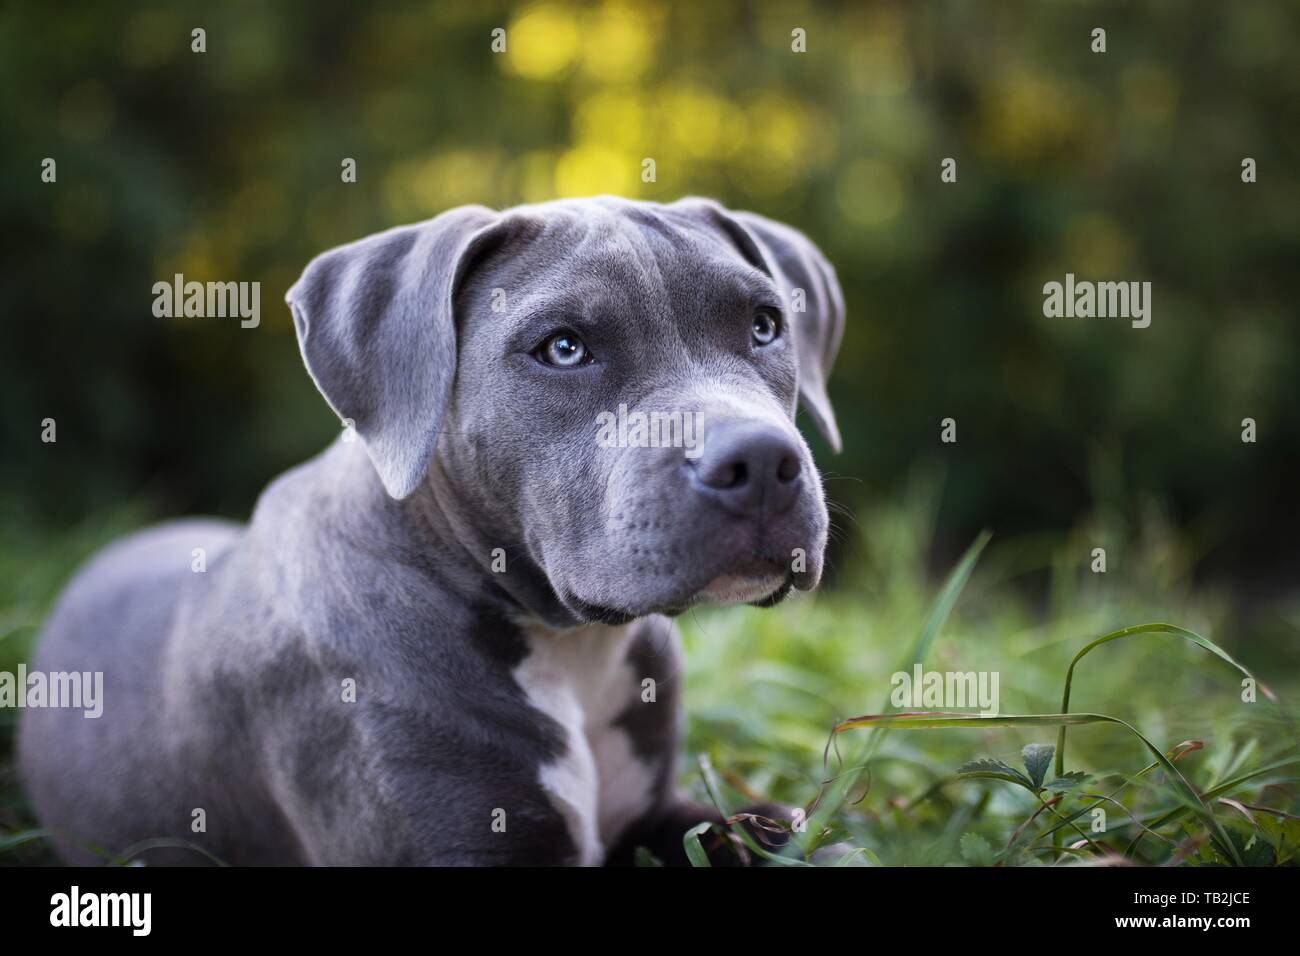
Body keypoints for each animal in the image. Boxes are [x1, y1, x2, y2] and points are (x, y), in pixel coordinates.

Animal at [25, 195, 847, 868]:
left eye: (766, 325)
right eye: (563, 347)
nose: (761, 461)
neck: (567, 649)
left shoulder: (660, 816)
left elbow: (771, 832)